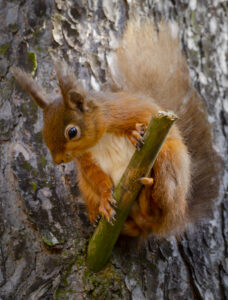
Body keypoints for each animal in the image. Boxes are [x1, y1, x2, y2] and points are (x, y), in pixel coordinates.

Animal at [11, 20, 218, 237]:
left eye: (72, 132)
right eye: (43, 132)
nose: (58, 160)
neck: (101, 139)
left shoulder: (131, 111)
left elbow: (143, 120)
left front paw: (134, 134)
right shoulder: (87, 161)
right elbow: (98, 179)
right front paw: (104, 200)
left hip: (169, 164)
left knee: (159, 210)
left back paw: (149, 196)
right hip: (88, 191)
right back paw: (98, 218)